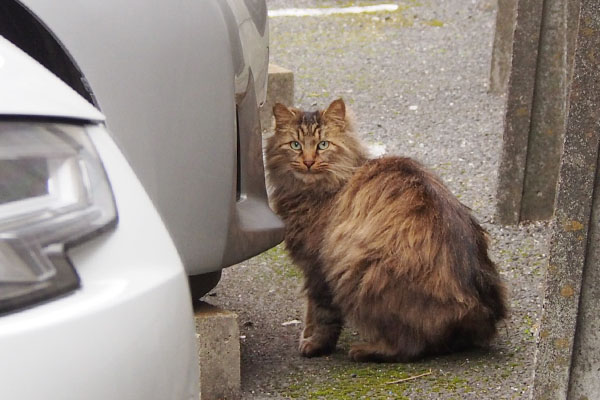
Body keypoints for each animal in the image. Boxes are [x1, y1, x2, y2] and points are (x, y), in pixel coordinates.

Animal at [268, 98, 506, 360]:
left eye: (323, 145)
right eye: (295, 145)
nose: (308, 162)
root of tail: (481, 307)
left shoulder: (318, 267)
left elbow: (321, 314)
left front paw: (315, 344)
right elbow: (311, 311)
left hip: (362, 270)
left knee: (410, 346)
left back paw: (365, 350)